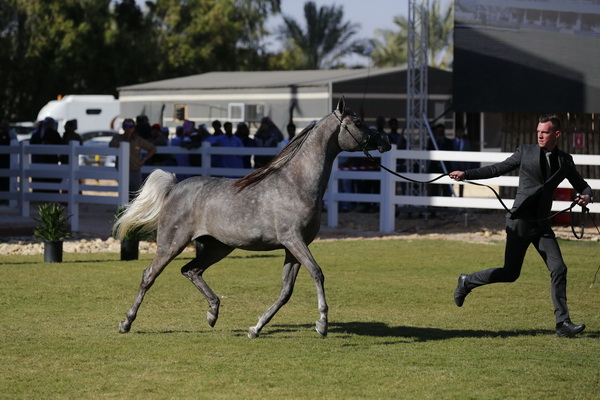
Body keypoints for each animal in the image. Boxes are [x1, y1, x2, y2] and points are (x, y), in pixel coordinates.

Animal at [114, 97, 392, 338]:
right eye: (358, 123)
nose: (386, 140)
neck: (296, 184)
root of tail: (174, 187)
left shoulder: (293, 248)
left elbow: (286, 291)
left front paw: (256, 328)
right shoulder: (293, 241)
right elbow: (317, 273)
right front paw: (322, 323)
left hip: (218, 247)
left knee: (191, 270)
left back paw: (213, 313)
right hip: (172, 244)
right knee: (149, 275)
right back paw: (126, 323)